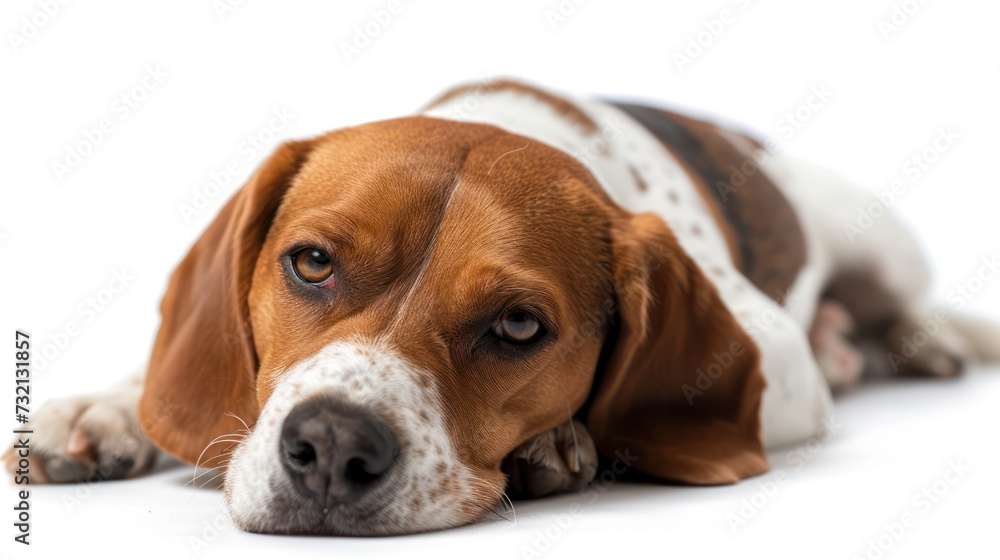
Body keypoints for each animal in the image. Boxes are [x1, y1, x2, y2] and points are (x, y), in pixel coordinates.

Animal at [5, 77, 992, 532]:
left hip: (877, 239)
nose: (330, 448)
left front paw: (564, 440)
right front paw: (104, 409)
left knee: (895, 305)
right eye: (313, 263)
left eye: (520, 326)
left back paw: (925, 336)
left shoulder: (774, 353)